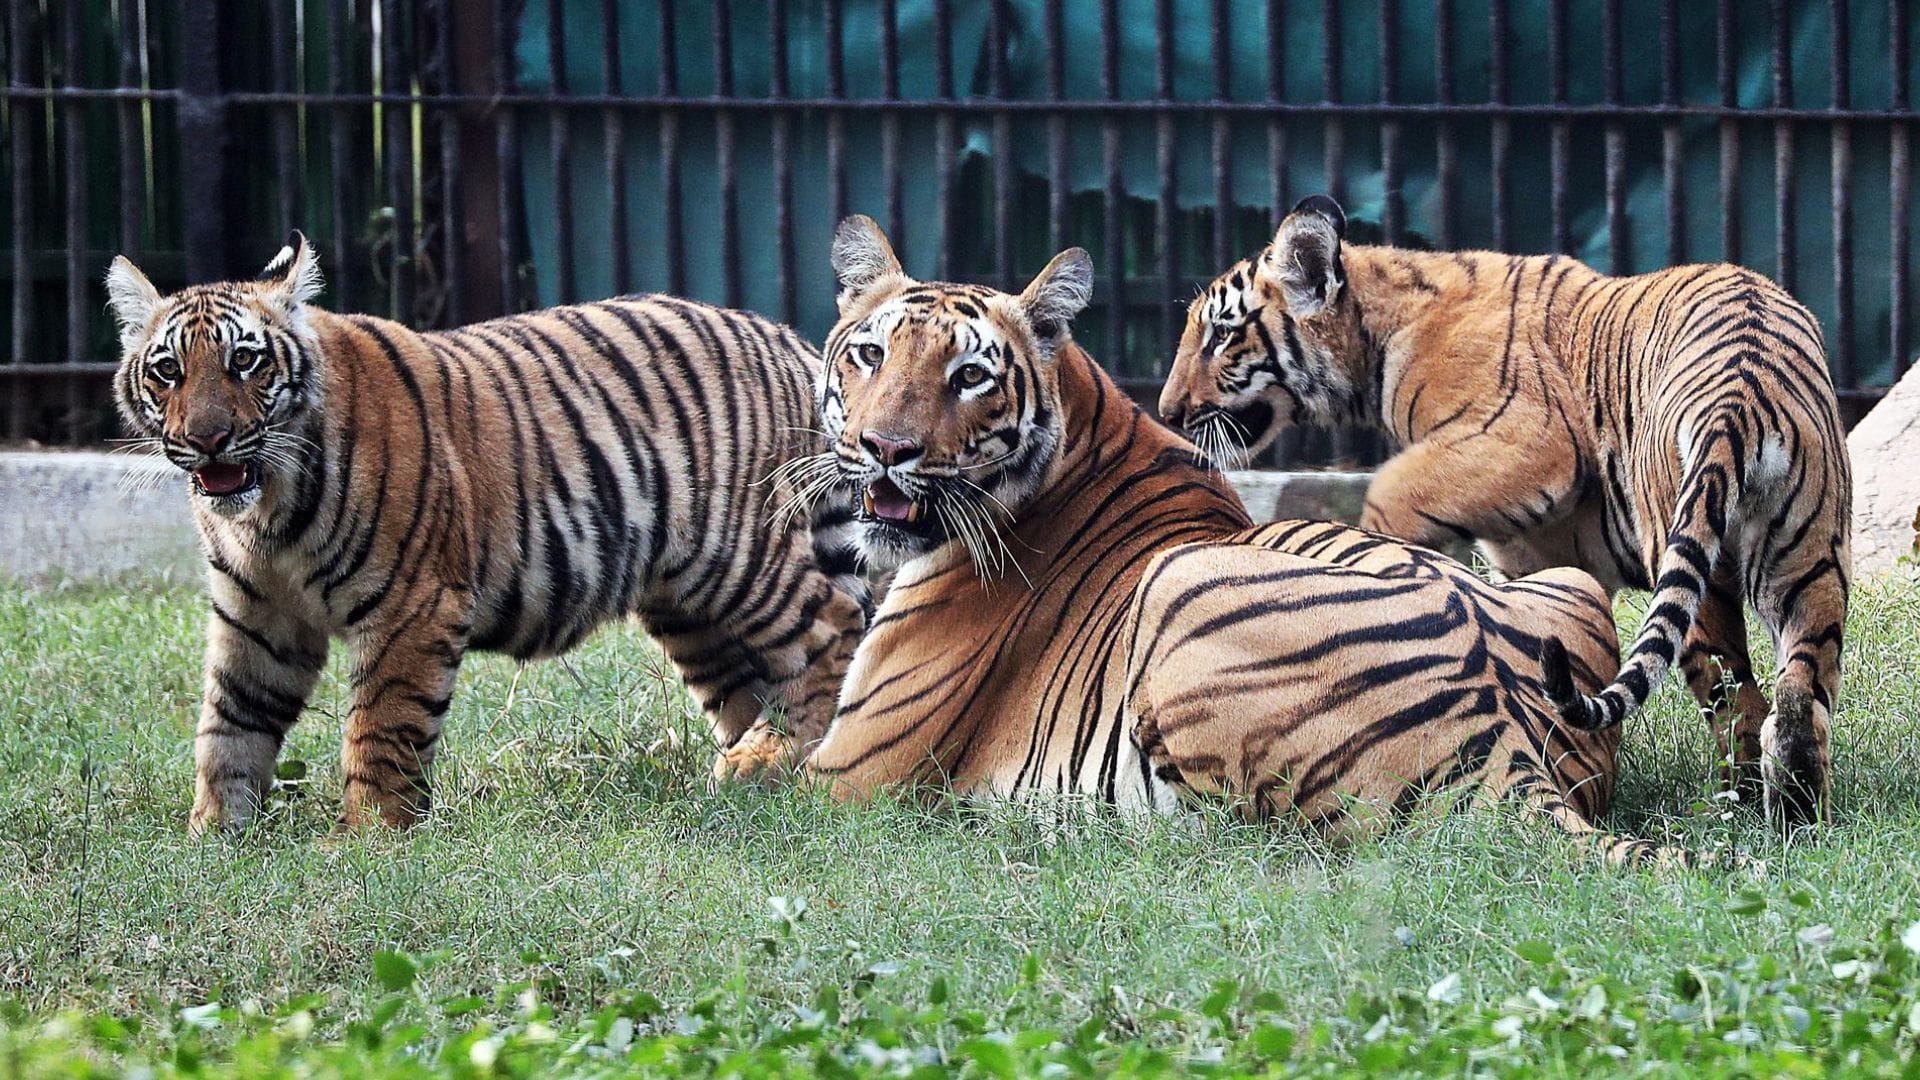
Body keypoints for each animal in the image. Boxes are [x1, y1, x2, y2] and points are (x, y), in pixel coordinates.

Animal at [105, 233, 868, 832]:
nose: (209, 440)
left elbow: (380, 724)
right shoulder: (257, 615)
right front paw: (213, 836)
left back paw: (781, 757)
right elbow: (229, 725)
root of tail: (790, 340)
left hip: (738, 556)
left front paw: (368, 840)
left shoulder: (412, 603)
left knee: (832, 626)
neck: (268, 514)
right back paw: (749, 771)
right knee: (752, 679)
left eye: (245, 361)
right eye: (168, 370)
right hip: (688, 605)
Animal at [795, 215, 1712, 868]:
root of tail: (1507, 741)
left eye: (971, 376)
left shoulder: (851, 773)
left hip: (1179, 585)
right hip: (1569, 585)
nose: (884, 448)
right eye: (869, 355)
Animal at [1158, 194, 1851, 827]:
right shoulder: (1540, 550)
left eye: (1222, 334)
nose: (1169, 411)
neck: (1376, 333)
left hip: (1694, 563)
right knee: (1798, 698)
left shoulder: (1529, 442)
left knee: (1741, 706)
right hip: (1810, 560)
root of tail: (1742, 385)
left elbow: (1391, 493)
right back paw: (1797, 816)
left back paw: (1740, 811)